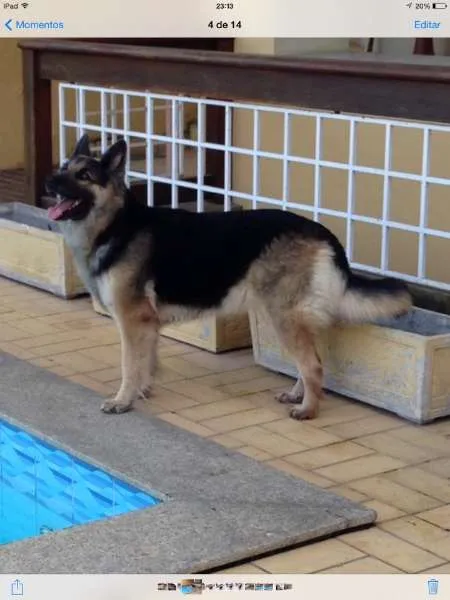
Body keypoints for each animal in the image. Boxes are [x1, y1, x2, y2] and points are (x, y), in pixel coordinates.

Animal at [46, 135, 412, 420]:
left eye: (84, 174)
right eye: (64, 168)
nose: (50, 180)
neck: (116, 225)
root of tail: (323, 232)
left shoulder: (132, 320)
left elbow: (128, 364)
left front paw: (122, 400)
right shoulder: (147, 325)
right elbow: (146, 362)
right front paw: (141, 391)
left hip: (282, 317)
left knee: (313, 365)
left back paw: (308, 409)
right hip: (285, 317)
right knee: (311, 360)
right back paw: (298, 394)